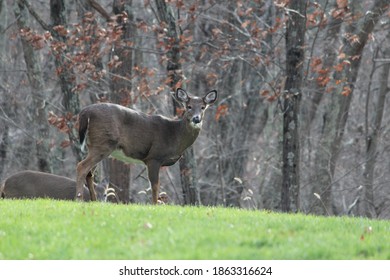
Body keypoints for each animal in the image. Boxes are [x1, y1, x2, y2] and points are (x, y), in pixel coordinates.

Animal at [76, 87, 216, 203]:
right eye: (189, 106)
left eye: (203, 107)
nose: (196, 119)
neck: (175, 135)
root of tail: (85, 112)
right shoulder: (154, 157)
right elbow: (155, 185)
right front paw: (154, 205)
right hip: (103, 143)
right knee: (82, 166)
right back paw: (79, 199)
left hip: (97, 146)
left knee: (89, 172)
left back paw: (93, 200)